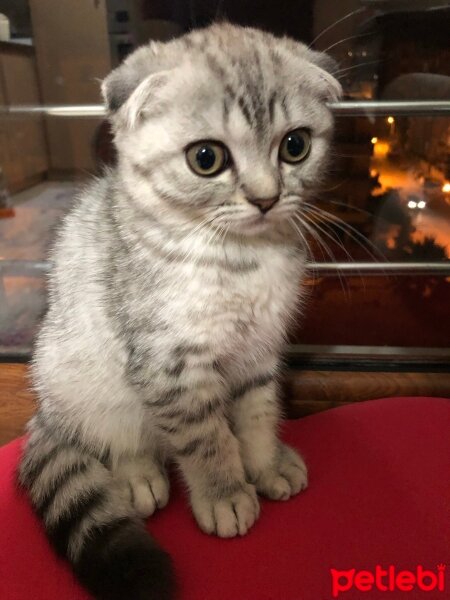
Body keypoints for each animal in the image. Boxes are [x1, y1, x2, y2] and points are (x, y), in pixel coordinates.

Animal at [17, 22, 342, 600]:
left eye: (295, 146)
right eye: (206, 158)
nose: (266, 198)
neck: (241, 260)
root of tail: (45, 411)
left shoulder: (260, 349)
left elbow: (257, 412)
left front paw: (264, 462)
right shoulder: (171, 364)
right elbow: (205, 437)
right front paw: (225, 493)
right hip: (79, 375)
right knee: (111, 436)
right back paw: (137, 476)